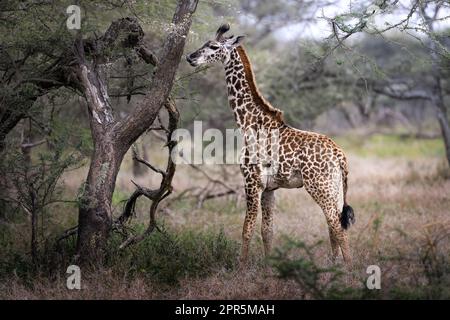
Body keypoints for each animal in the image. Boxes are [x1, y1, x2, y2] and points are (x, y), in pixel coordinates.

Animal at [186, 24, 356, 264]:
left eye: (214, 46)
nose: (190, 57)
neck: (249, 122)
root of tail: (340, 155)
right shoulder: (269, 188)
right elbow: (267, 231)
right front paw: (267, 268)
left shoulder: (251, 181)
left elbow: (247, 229)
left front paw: (241, 266)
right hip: (335, 188)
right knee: (334, 226)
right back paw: (334, 267)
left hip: (319, 186)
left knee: (337, 227)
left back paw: (348, 270)